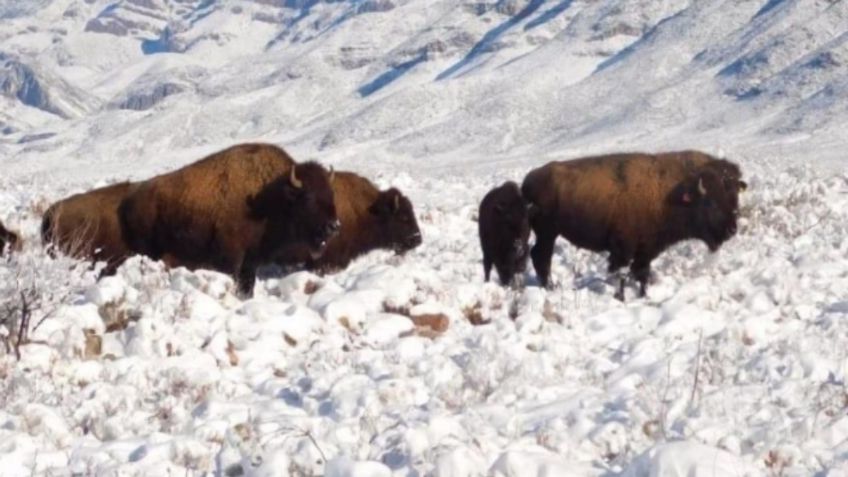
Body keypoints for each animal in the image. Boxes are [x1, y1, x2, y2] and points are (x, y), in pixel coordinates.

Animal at [117, 143, 342, 296]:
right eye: (308, 198)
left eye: (331, 194)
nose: (334, 226)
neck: (271, 196)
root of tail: (128, 201)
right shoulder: (231, 256)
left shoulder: (251, 260)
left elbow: (247, 285)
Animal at [524, 149, 748, 300]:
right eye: (711, 202)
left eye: (735, 197)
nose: (732, 229)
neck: (670, 192)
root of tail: (528, 180)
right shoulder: (623, 249)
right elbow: (621, 273)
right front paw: (621, 296)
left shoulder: (646, 249)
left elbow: (642, 273)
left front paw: (643, 295)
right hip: (548, 233)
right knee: (541, 257)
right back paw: (550, 288)